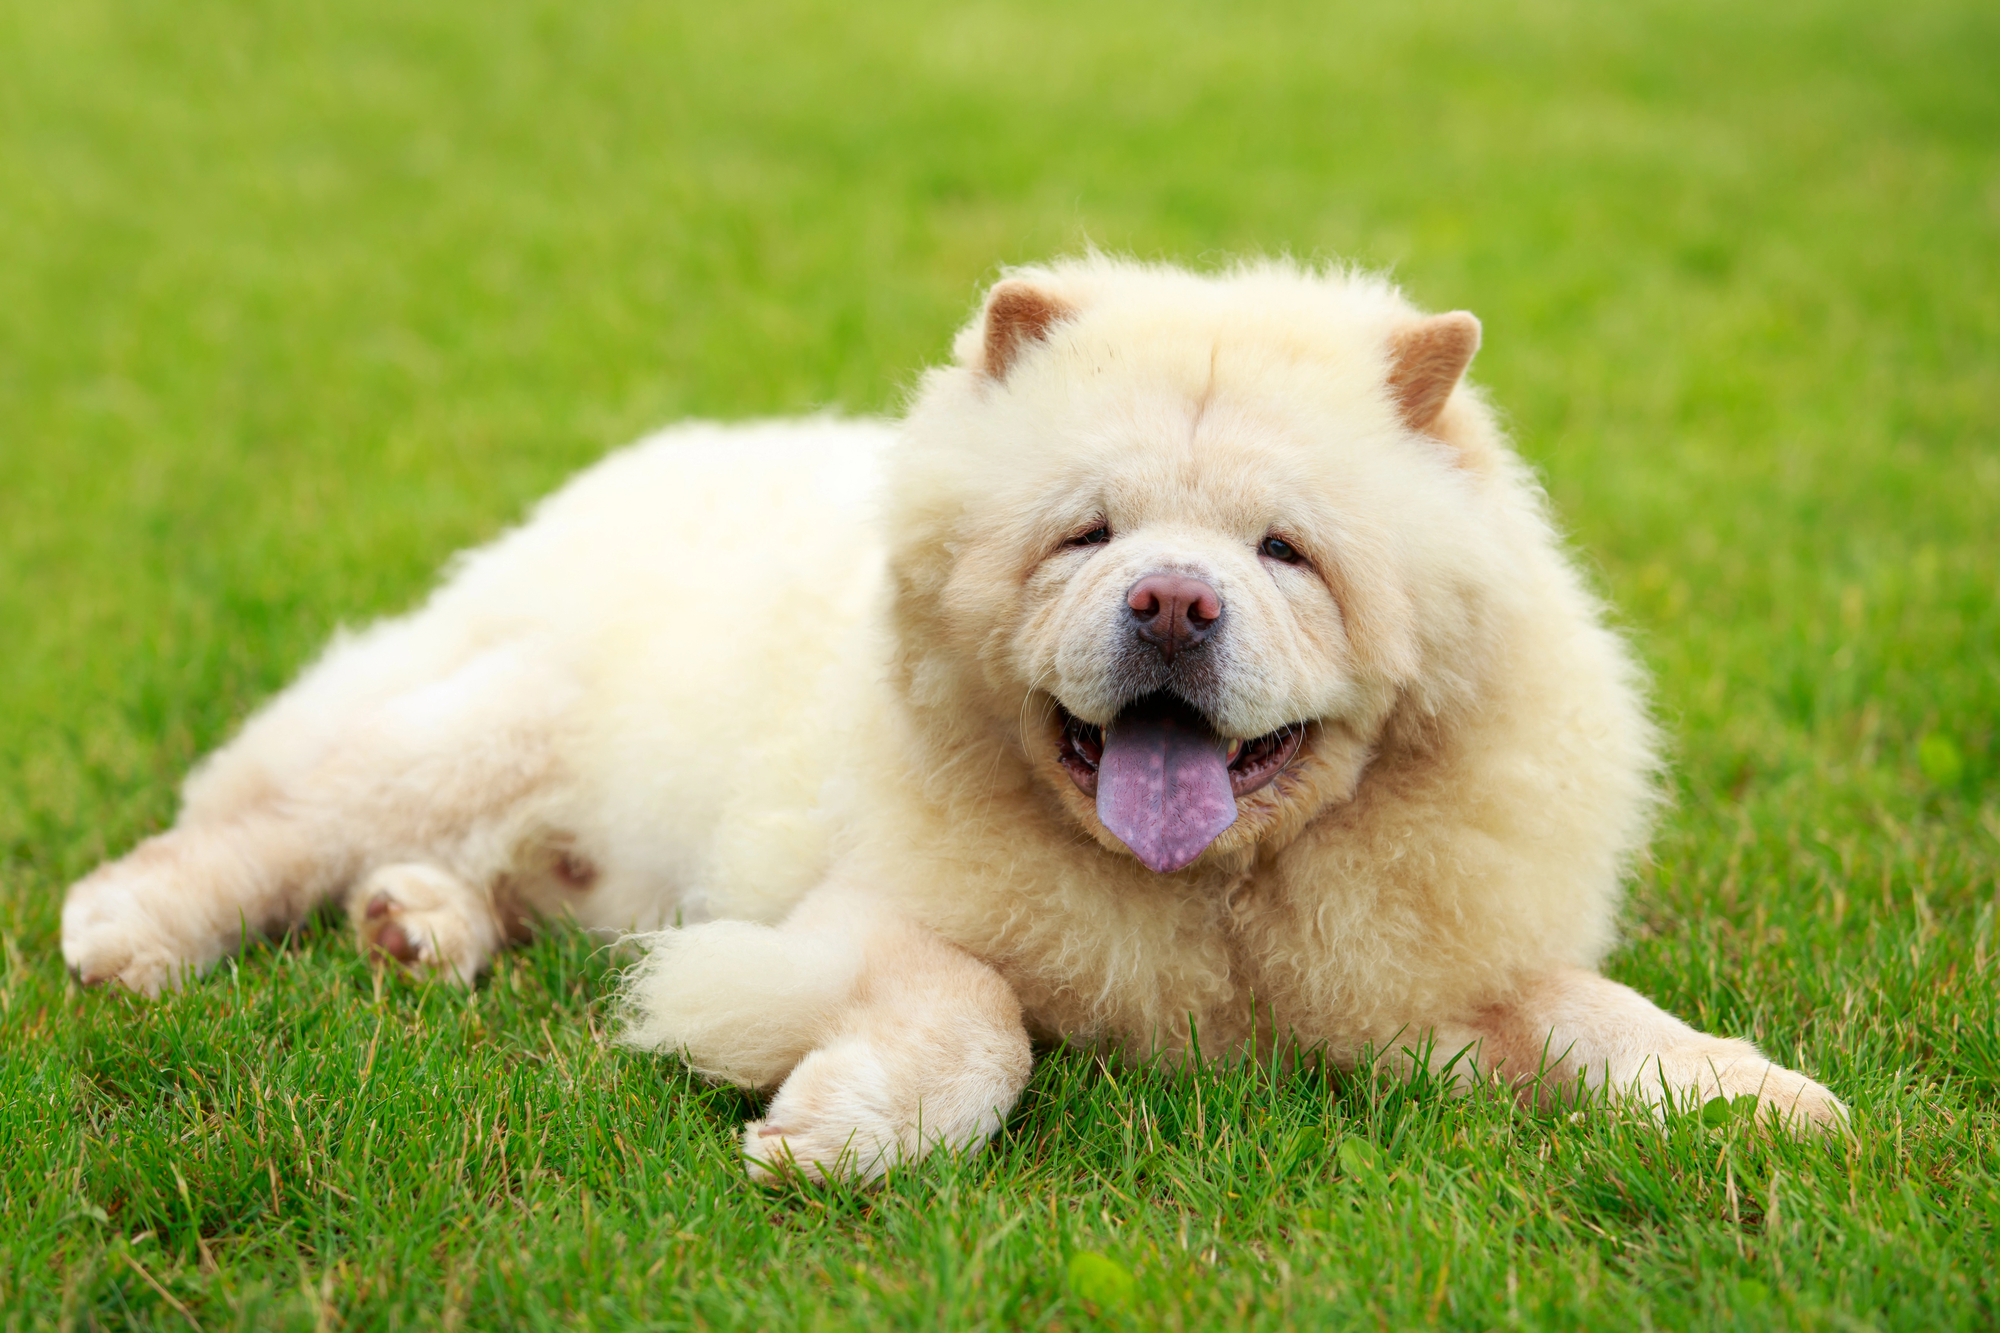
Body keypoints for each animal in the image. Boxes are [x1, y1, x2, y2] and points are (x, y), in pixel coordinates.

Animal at [62, 256, 1840, 1176]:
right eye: (1087, 534)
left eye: (1286, 553)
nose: (1172, 602)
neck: (1211, 903)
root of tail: (627, 468)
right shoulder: (854, 919)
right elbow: (979, 1014)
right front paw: (839, 1133)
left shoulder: (1435, 969)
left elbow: (1596, 1015)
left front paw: (1764, 1102)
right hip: (474, 720)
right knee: (258, 825)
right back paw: (129, 937)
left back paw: (414, 927)